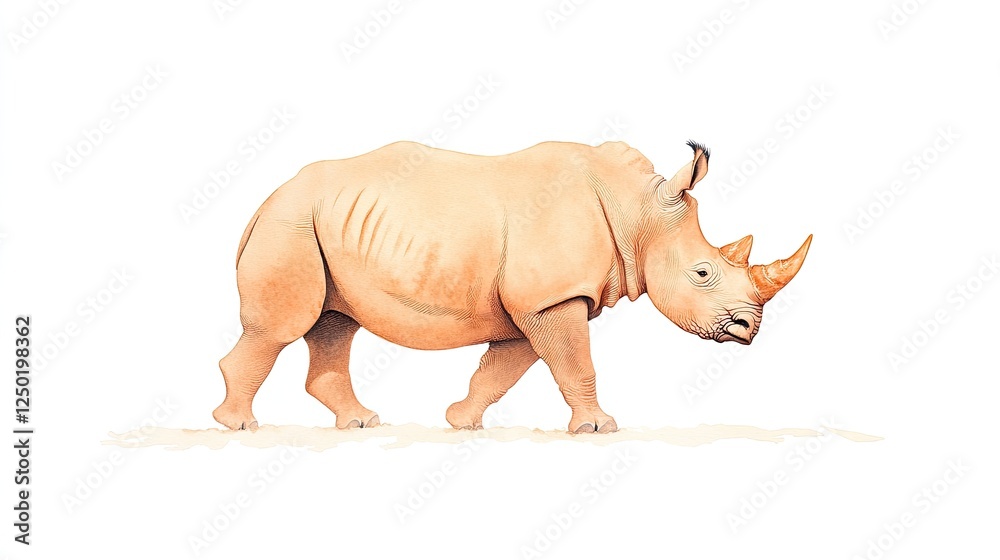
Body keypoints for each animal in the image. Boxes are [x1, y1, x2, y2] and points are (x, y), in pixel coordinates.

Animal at [213, 140, 811, 433]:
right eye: (703, 273)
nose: (749, 328)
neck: (636, 213)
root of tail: (265, 198)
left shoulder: (538, 303)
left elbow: (504, 369)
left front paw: (462, 422)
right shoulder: (553, 298)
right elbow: (576, 365)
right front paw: (599, 429)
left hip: (319, 224)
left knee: (335, 323)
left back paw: (360, 423)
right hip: (292, 223)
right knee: (282, 327)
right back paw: (238, 427)